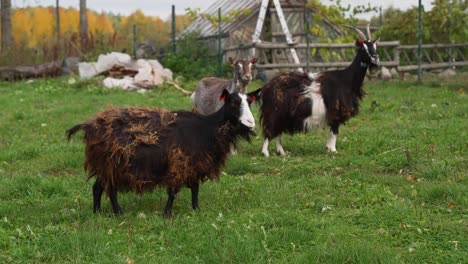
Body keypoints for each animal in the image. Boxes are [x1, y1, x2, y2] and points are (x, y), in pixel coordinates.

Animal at [66, 89, 256, 218]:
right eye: (233, 103)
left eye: (249, 102)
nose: (251, 122)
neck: (207, 127)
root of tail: (90, 124)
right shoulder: (179, 163)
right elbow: (172, 191)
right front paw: (167, 214)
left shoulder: (193, 164)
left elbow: (195, 189)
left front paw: (196, 209)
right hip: (112, 164)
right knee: (109, 189)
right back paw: (118, 213)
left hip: (106, 166)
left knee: (97, 187)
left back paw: (97, 212)